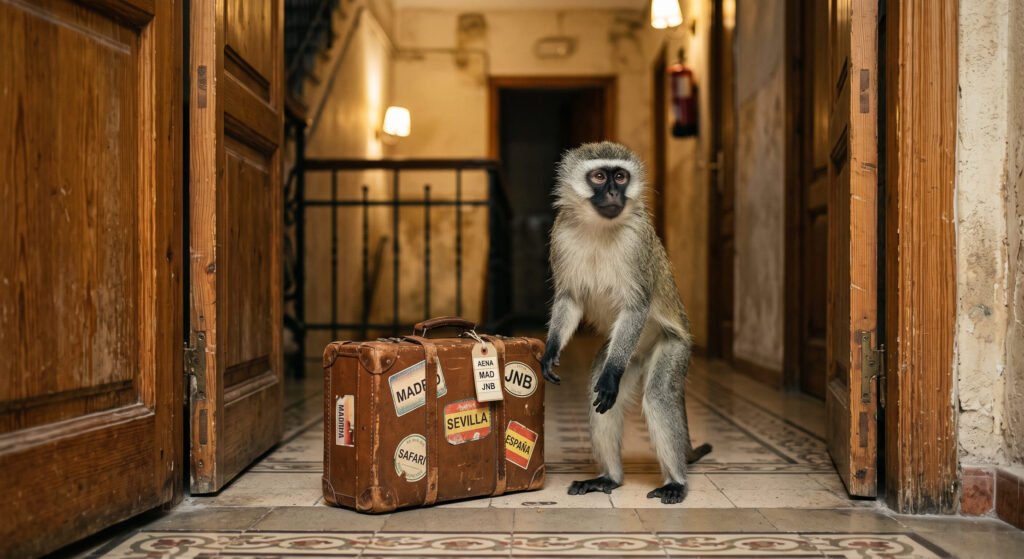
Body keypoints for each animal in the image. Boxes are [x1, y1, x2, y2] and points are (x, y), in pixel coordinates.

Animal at [541, 141, 712, 504]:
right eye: (599, 176)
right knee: (605, 393)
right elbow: (570, 299)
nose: (612, 193)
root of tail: (642, 353)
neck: (598, 227)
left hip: (669, 347)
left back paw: (676, 482)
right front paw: (550, 351)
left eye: (620, 177)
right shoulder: (561, 233)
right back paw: (609, 478)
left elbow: (636, 307)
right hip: (632, 355)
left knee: (658, 395)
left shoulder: (638, 244)